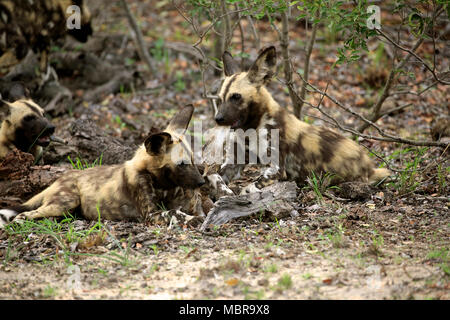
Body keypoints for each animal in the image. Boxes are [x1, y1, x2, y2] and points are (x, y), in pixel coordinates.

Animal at [0, 105, 206, 228]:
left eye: (193, 160)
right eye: (182, 164)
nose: (202, 183)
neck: (161, 184)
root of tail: (57, 181)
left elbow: (186, 210)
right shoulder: (151, 214)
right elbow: (176, 214)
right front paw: (195, 220)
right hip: (65, 202)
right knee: (23, 215)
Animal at [214, 45, 390, 185]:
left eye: (236, 97)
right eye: (220, 98)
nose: (218, 119)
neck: (253, 127)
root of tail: (370, 167)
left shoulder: (275, 170)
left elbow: (252, 187)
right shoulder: (234, 163)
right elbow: (215, 176)